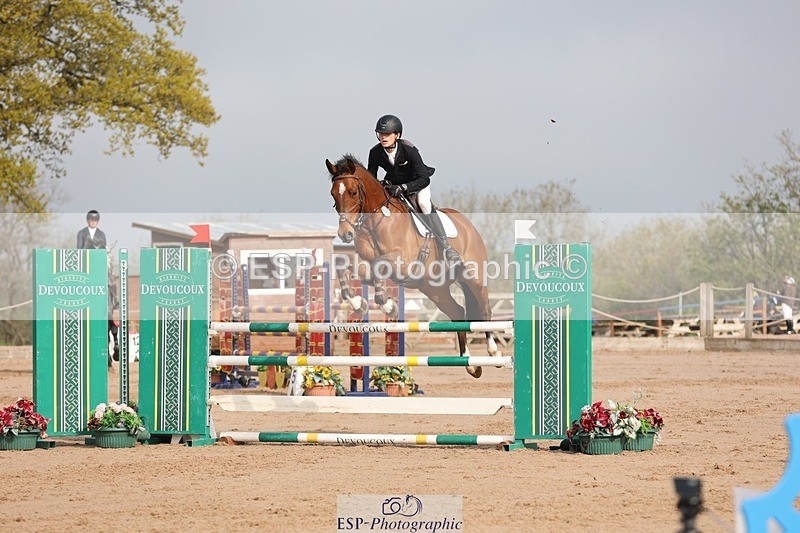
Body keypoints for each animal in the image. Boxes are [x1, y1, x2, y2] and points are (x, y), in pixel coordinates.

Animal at [326, 155, 501, 378]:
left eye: (353, 192)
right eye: (333, 194)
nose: (345, 234)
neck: (376, 219)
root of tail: (468, 225)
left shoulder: (402, 261)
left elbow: (378, 266)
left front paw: (387, 305)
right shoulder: (367, 263)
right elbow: (344, 263)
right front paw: (358, 302)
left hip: (474, 277)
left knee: (484, 310)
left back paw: (494, 353)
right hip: (435, 290)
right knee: (457, 312)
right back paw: (471, 364)